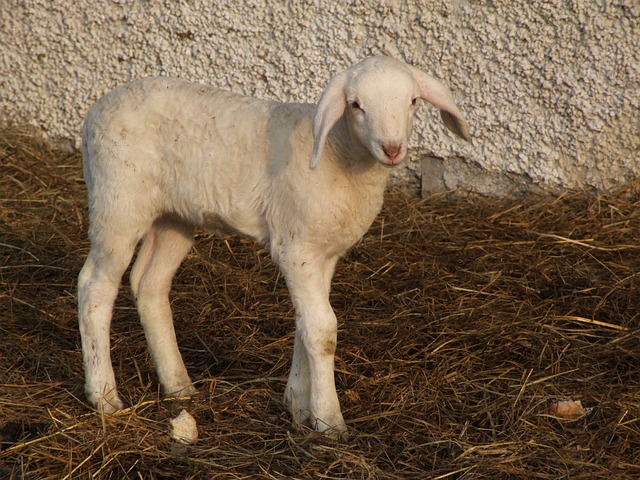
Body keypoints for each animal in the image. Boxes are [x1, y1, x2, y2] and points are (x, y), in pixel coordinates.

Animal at [79, 56, 470, 438]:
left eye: (413, 101)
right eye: (356, 105)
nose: (392, 149)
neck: (337, 153)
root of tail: (95, 110)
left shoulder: (322, 253)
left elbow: (306, 324)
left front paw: (298, 404)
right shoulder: (296, 248)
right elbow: (323, 329)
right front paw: (329, 421)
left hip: (173, 216)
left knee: (149, 284)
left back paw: (178, 386)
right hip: (118, 200)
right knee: (94, 287)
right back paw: (105, 397)